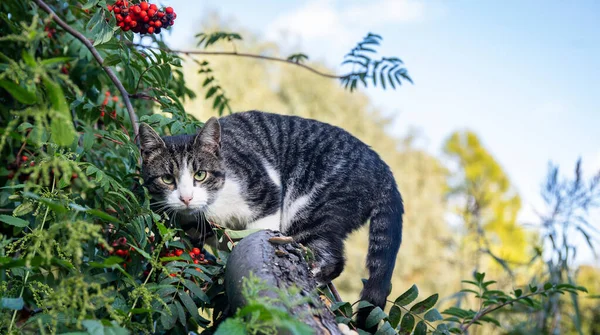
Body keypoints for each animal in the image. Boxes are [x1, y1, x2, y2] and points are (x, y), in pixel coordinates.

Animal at [138, 111, 406, 330]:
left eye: (200, 175)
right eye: (167, 179)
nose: (186, 198)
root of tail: (383, 169)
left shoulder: (268, 190)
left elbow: (258, 230)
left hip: (311, 205)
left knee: (334, 258)